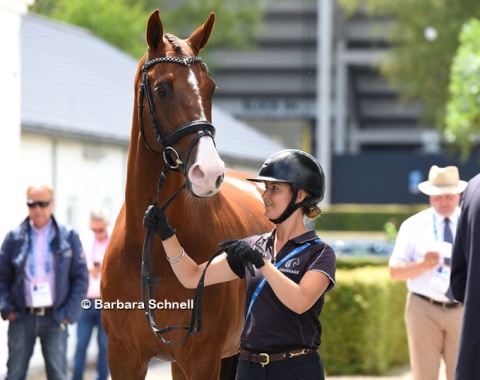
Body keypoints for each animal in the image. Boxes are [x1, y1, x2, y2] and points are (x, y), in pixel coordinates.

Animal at [100, 8, 274, 380]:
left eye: (211, 88)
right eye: (162, 89)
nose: (208, 172)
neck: (150, 247)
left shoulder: (202, 357)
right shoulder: (123, 355)